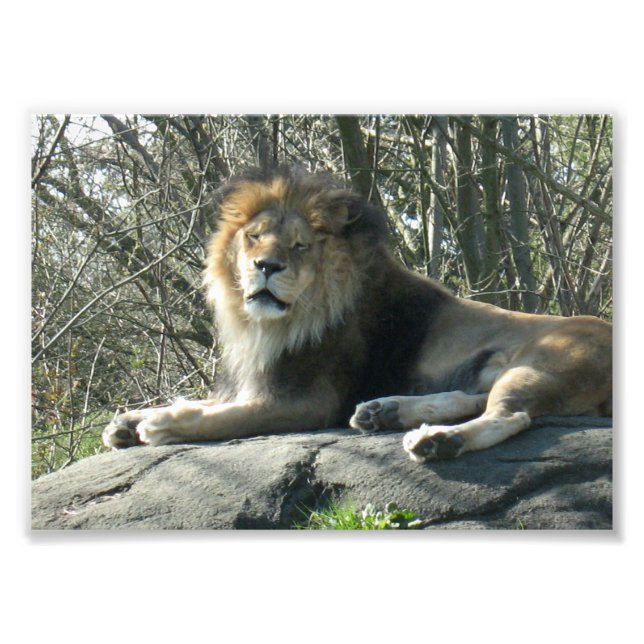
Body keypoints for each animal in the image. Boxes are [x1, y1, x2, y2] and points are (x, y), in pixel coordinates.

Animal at [102, 166, 612, 462]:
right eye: (254, 236)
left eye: (300, 246)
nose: (267, 266)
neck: (269, 325)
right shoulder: (256, 381)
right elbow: (214, 402)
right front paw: (127, 422)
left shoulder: (304, 401)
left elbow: (227, 418)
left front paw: (163, 424)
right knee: (474, 399)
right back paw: (385, 412)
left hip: (539, 364)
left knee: (509, 415)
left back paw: (436, 440)